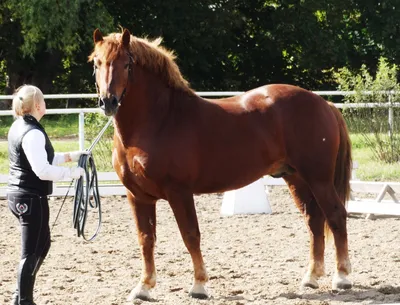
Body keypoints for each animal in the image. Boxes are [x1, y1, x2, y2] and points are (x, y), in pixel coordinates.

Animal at [89, 28, 352, 300]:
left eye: (127, 64)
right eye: (96, 63)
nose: (108, 102)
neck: (159, 120)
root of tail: (324, 103)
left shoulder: (179, 192)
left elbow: (190, 235)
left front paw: (199, 285)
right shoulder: (137, 196)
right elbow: (146, 239)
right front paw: (144, 287)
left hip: (319, 179)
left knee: (335, 215)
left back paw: (342, 277)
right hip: (296, 179)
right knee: (314, 220)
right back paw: (311, 277)